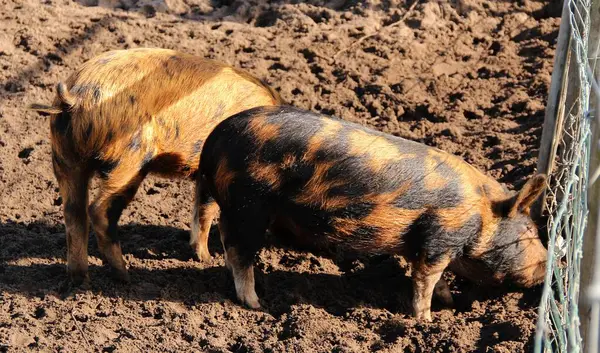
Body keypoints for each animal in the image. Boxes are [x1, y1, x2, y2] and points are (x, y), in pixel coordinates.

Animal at [31, 47, 286, 284]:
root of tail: (76, 97)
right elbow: (207, 210)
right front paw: (206, 259)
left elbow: (199, 209)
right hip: (129, 159)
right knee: (99, 210)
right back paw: (125, 277)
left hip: (64, 158)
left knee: (74, 214)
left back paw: (79, 280)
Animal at [196, 104, 548, 320]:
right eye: (529, 231)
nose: (551, 264)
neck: (479, 212)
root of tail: (216, 138)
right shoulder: (440, 236)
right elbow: (426, 281)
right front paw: (426, 320)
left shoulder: (423, 245)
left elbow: (432, 278)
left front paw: (447, 305)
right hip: (250, 205)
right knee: (239, 250)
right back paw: (257, 305)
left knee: (220, 233)